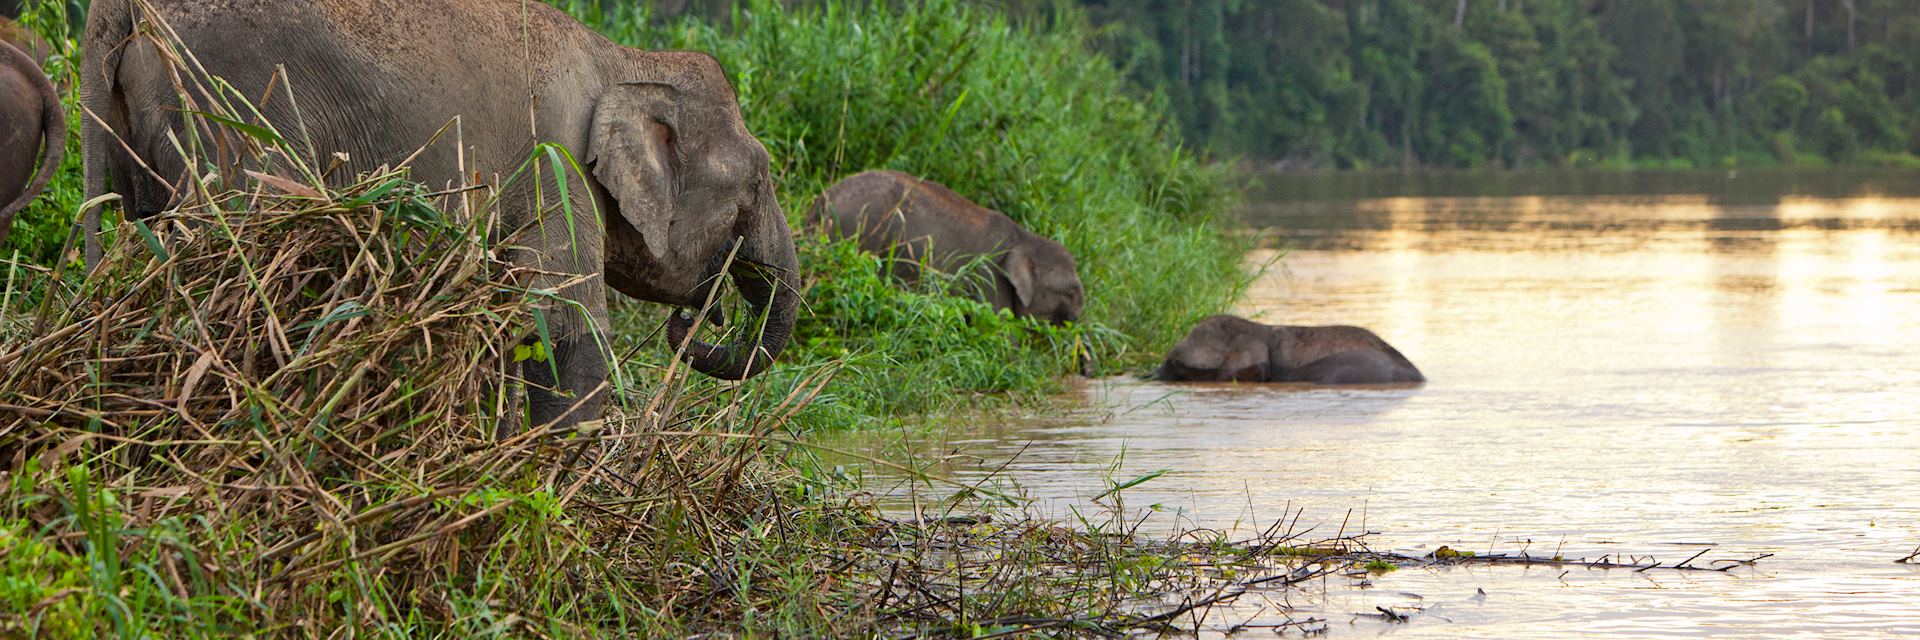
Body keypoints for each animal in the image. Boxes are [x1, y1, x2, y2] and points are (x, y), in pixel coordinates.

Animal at [78, 1, 798, 428]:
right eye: (759, 179)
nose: (697, 318)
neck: (625, 60)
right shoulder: (556, 160)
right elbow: (565, 320)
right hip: (232, 119)